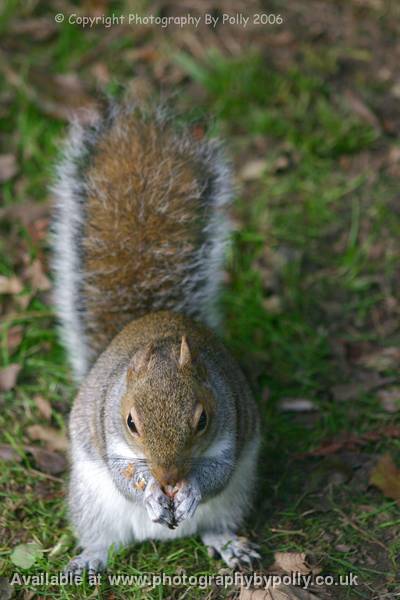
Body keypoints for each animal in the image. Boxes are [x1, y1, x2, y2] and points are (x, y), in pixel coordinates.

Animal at [51, 102, 260, 572]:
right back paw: (89, 559)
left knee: (215, 523)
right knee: (103, 539)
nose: (168, 478)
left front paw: (191, 489)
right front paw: (148, 490)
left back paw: (228, 543)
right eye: (131, 422)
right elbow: (125, 477)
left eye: (202, 420)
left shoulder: (230, 425)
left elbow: (216, 473)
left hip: (235, 498)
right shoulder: (108, 431)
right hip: (91, 503)